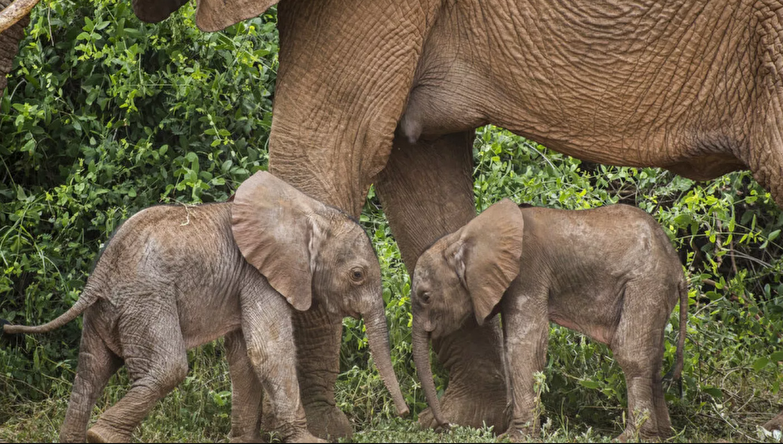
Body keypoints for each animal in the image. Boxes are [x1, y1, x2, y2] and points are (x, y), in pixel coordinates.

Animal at [4, 172, 410, 442]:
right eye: (357, 275)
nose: (406, 413)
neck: (308, 212)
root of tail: (98, 276)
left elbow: (245, 358)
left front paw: (243, 441)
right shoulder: (258, 276)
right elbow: (268, 352)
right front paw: (307, 440)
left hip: (109, 310)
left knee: (90, 373)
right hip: (146, 300)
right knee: (167, 369)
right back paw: (102, 436)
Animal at [410, 199, 688, 442]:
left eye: (425, 297)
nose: (445, 425)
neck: (461, 237)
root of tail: (678, 268)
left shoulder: (527, 273)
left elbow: (524, 348)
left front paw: (513, 438)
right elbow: (511, 346)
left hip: (646, 283)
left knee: (631, 353)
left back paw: (631, 437)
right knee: (654, 358)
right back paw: (664, 435)